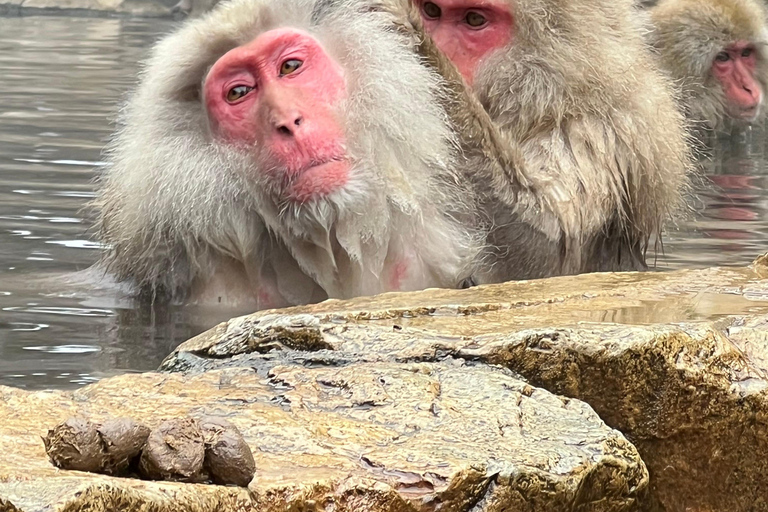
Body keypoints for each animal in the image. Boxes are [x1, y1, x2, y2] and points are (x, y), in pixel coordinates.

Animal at [376, 0, 692, 283]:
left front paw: (414, 38)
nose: (445, 49)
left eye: (475, 19)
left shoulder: (596, 133)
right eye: (432, 10)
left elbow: (547, 249)